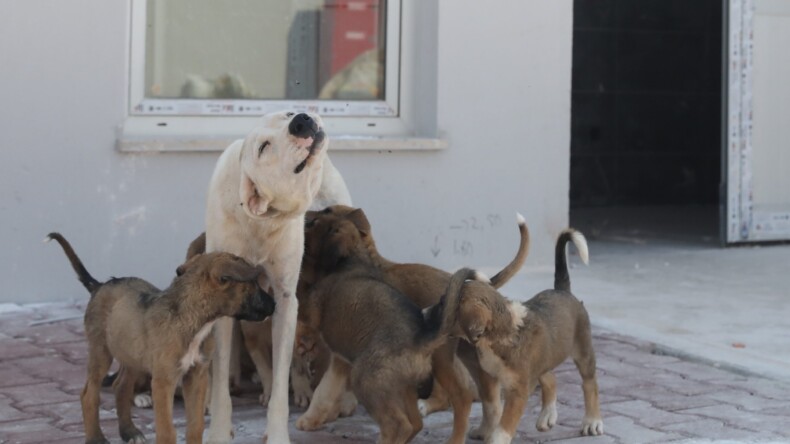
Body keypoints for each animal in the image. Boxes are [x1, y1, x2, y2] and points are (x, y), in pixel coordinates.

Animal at [46, 232, 276, 444]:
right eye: (255, 284)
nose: (274, 305)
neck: (193, 320)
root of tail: (100, 285)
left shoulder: (196, 376)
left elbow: (196, 425)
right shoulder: (163, 380)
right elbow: (167, 430)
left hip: (132, 355)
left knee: (120, 387)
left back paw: (130, 432)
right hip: (101, 352)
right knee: (89, 394)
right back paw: (96, 438)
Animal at [206, 109, 352, 442]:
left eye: (286, 115)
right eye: (264, 148)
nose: (301, 120)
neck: (260, 220)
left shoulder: (286, 300)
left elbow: (284, 374)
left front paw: (276, 433)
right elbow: (219, 380)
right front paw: (219, 430)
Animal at [296, 208, 532, 444]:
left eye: (321, 217)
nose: (306, 216)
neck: (354, 259)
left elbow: (323, 383)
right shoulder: (341, 355)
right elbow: (326, 387)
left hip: (425, 364)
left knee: (456, 399)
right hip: (465, 357)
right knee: (488, 396)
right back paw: (485, 431)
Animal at [446, 229, 608, 444]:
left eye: (445, 304)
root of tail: (562, 290)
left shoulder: (518, 390)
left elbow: (503, 425)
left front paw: (494, 437)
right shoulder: (489, 376)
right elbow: (491, 407)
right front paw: (484, 430)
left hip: (583, 349)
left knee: (590, 384)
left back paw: (592, 421)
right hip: (542, 359)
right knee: (550, 378)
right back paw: (547, 416)